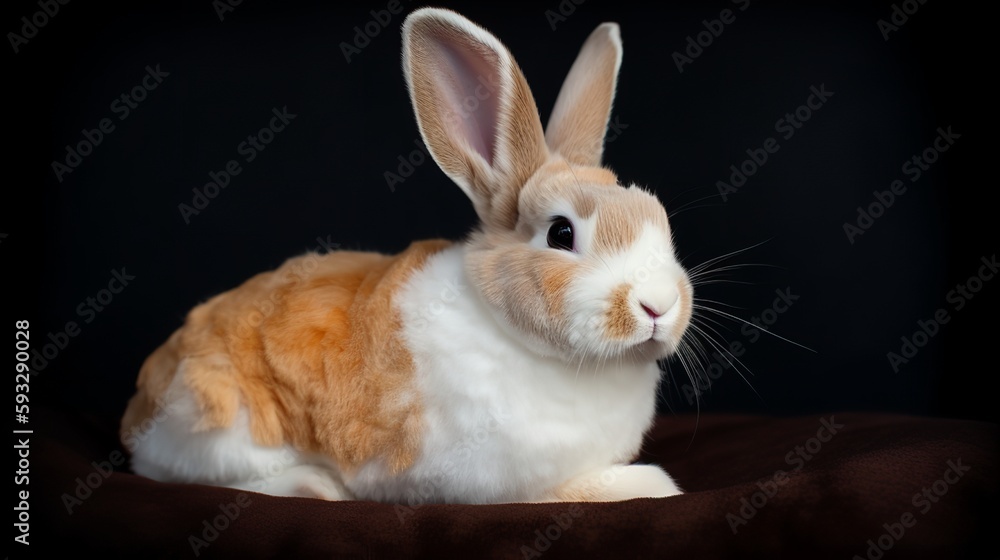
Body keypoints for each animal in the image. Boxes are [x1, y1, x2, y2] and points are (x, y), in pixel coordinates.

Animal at [120, 7, 692, 504]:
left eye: (659, 218)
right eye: (560, 233)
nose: (659, 305)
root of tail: (139, 413)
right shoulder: (504, 483)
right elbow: (582, 488)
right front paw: (656, 484)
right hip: (225, 422)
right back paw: (314, 486)